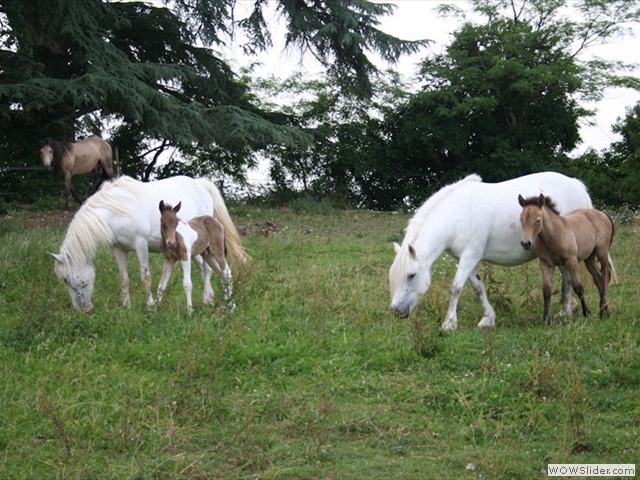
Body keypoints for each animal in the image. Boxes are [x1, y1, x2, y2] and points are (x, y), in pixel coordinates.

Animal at [47, 174, 246, 314]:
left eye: (68, 279)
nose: (81, 309)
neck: (115, 210)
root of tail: (201, 184)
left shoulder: (140, 245)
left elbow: (145, 277)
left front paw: (150, 306)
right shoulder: (118, 249)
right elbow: (124, 278)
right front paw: (126, 306)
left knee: (210, 270)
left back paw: (209, 300)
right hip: (197, 250)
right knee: (207, 270)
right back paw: (211, 299)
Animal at [390, 172, 600, 330]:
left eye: (411, 275)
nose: (396, 311)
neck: (457, 215)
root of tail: (577, 185)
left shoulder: (470, 256)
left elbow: (455, 288)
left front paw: (449, 323)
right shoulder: (463, 259)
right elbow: (478, 287)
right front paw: (488, 319)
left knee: (568, 277)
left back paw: (566, 311)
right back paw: (567, 309)